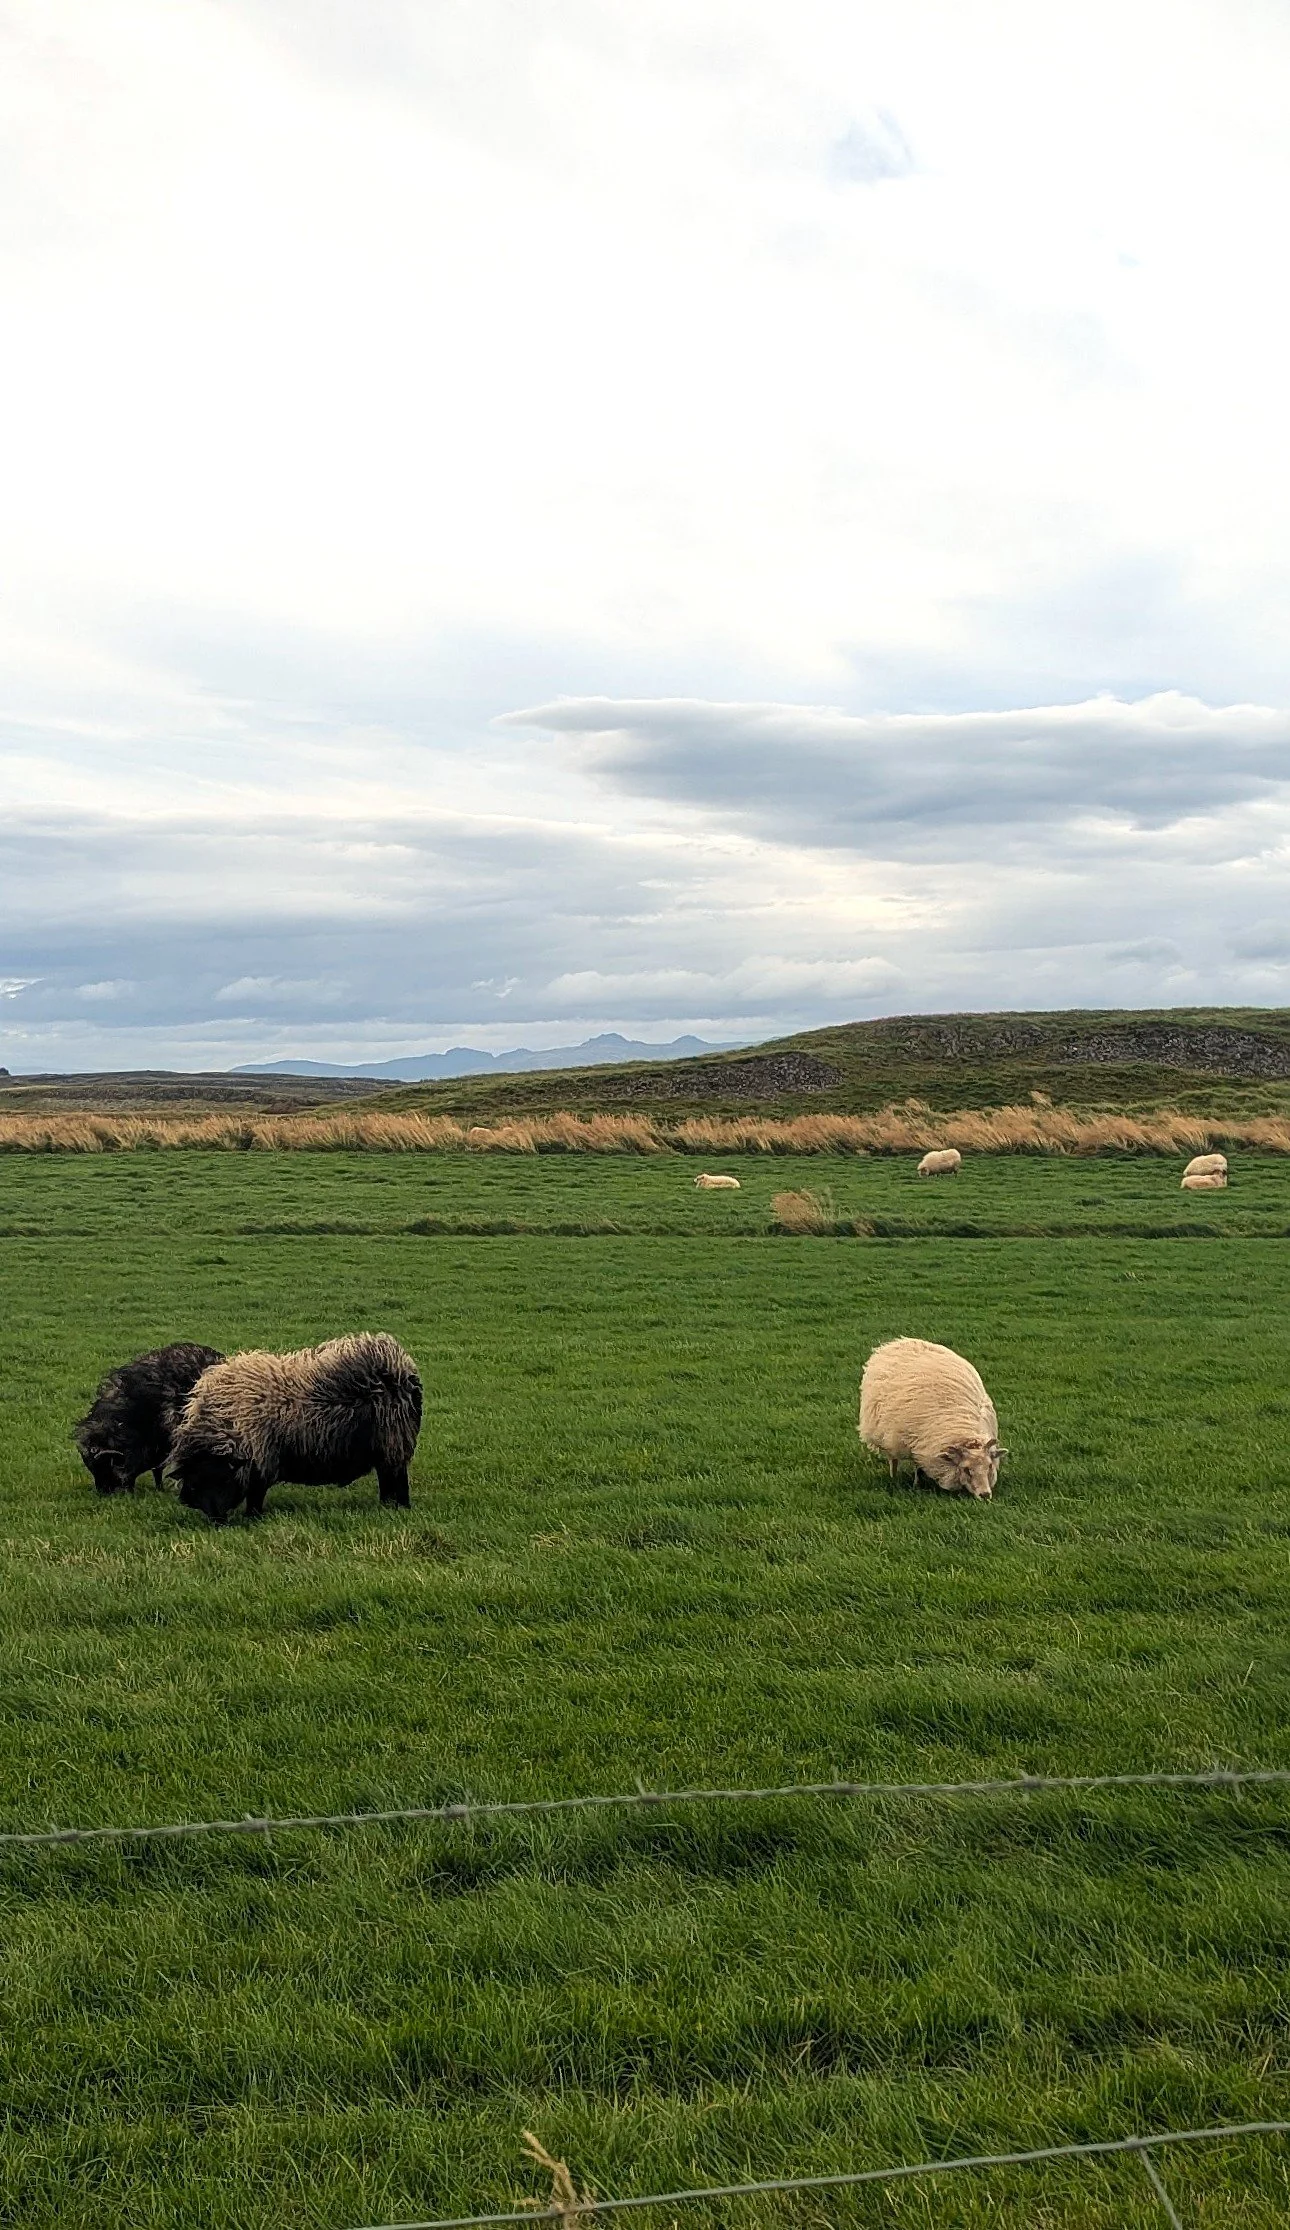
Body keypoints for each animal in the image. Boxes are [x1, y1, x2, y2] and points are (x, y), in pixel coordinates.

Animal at [167, 1331, 422, 1522]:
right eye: (197, 1480)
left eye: (221, 1477)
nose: (218, 1521)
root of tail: (402, 1365)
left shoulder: (262, 1457)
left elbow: (256, 1494)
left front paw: (252, 1519)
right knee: (387, 1480)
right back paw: (385, 1507)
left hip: (394, 1442)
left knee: (396, 1480)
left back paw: (400, 1508)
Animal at [859, 1336, 1003, 1501]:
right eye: (966, 1469)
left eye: (990, 1466)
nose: (985, 1495)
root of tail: (897, 1342)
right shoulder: (915, 1442)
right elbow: (917, 1466)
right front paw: (916, 1485)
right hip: (887, 1435)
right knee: (892, 1458)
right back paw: (893, 1477)